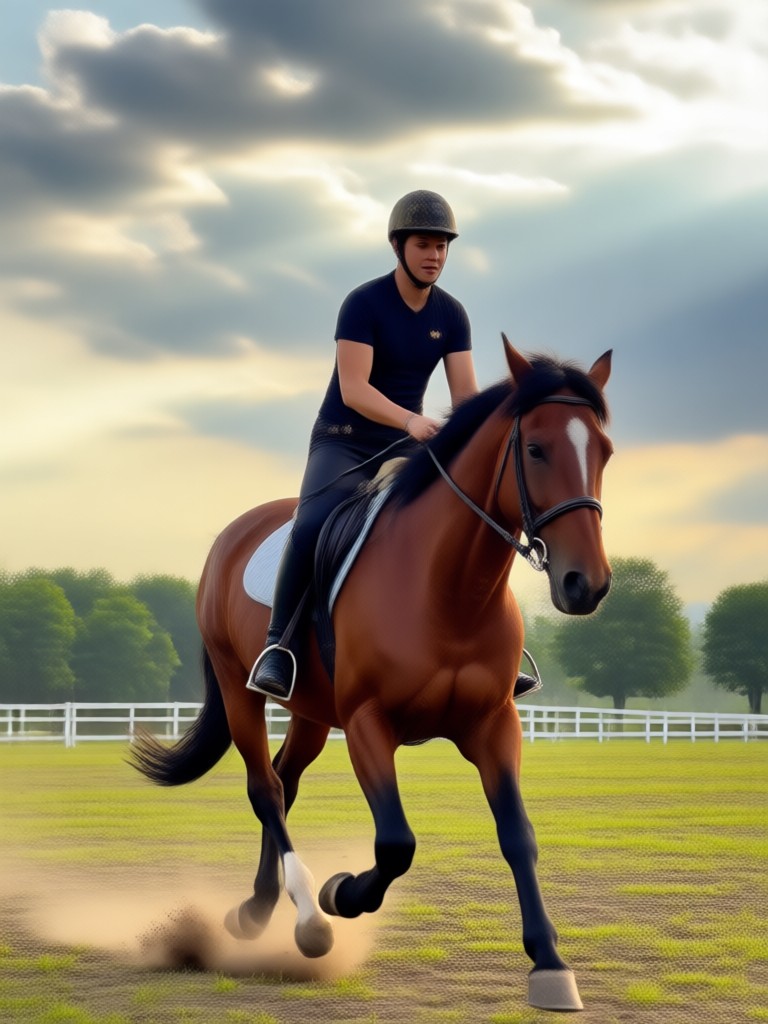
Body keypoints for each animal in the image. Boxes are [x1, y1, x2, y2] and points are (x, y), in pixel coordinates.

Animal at [131, 337, 613, 1011]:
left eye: (604, 452)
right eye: (537, 449)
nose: (585, 584)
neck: (447, 589)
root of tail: (232, 536)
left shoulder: (494, 724)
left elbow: (518, 834)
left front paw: (549, 963)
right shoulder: (367, 724)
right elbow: (396, 843)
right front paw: (341, 893)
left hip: (311, 711)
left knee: (284, 781)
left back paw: (258, 909)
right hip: (239, 689)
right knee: (266, 789)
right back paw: (307, 918)